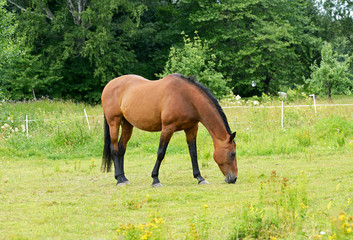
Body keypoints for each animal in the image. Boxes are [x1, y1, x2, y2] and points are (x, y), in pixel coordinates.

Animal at [101, 73, 236, 188]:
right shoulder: (168, 128)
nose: (233, 178)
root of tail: (109, 84)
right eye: (232, 153)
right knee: (114, 148)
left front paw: (200, 178)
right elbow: (161, 153)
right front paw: (155, 179)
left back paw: (124, 178)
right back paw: (119, 180)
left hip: (127, 125)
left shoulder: (191, 128)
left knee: (121, 148)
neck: (185, 97)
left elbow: (193, 153)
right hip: (114, 122)